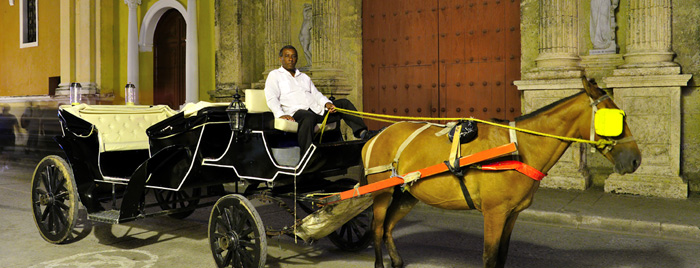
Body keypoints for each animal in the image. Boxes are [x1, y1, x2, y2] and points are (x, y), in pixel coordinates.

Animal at [364, 78, 644, 268]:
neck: (519, 148)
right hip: (381, 193)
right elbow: (490, 257)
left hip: (407, 194)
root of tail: (377, 134)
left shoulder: (511, 213)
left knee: (388, 227)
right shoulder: (494, 213)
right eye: (615, 118)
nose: (635, 159)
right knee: (377, 228)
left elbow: (502, 255)